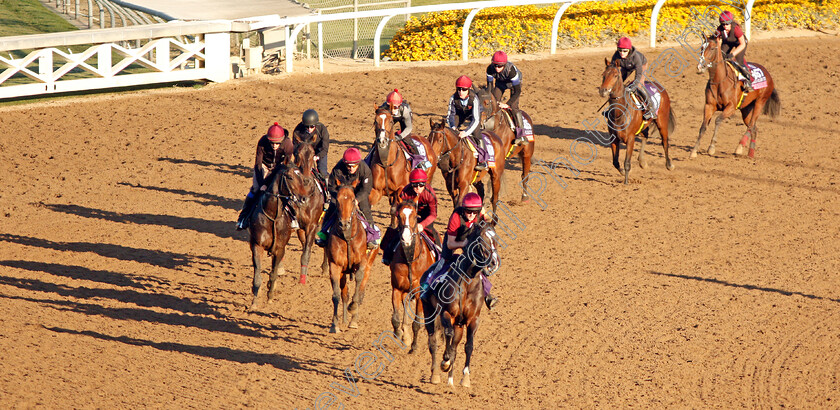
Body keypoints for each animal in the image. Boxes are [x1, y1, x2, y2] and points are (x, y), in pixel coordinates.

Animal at [326, 185, 378, 334]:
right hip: (343, 272)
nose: (344, 223)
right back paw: (344, 319)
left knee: (360, 292)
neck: (348, 238)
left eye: (353, 199)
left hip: (369, 265)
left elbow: (358, 286)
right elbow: (336, 295)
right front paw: (335, 325)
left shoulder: (362, 263)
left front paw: (353, 308)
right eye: (337, 200)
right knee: (345, 294)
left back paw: (353, 319)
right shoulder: (335, 265)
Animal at [388, 199, 436, 352]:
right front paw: (400, 335)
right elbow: (395, 318)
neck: (410, 259)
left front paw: (414, 346)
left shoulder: (420, 293)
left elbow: (417, 323)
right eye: (399, 216)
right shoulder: (397, 289)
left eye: (415, 216)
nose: (406, 238)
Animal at [420, 219, 498, 386]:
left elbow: (469, 345)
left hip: (459, 325)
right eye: (481, 239)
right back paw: (435, 374)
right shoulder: (447, 313)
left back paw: (450, 381)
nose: (494, 262)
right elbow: (447, 337)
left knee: (455, 346)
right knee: (433, 342)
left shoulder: (473, 319)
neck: (467, 283)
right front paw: (445, 361)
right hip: (429, 313)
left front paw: (465, 377)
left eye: (495, 239)